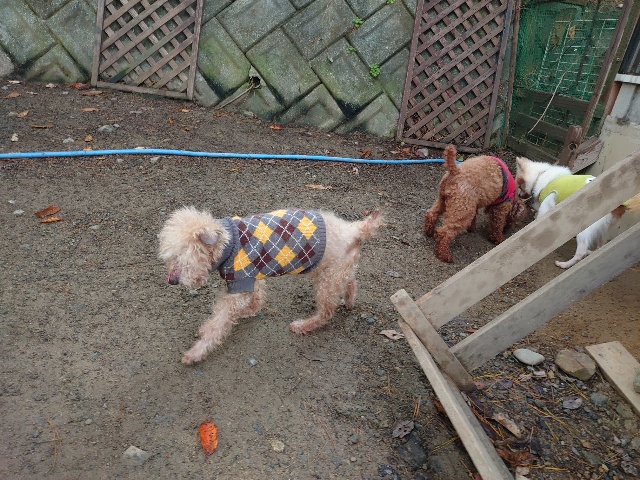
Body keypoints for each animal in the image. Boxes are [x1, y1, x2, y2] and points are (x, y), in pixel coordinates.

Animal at [158, 207, 383, 364]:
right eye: (170, 257)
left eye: (184, 256)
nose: (172, 281)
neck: (228, 243)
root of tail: (355, 230)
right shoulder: (251, 277)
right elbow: (256, 298)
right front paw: (249, 311)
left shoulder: (239, 285)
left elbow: (218, 324)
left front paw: (196, 352)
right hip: (334, 269)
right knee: (351, 281)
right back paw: (350, 301)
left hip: (327, 279)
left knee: (326, 311)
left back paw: (304, 325)